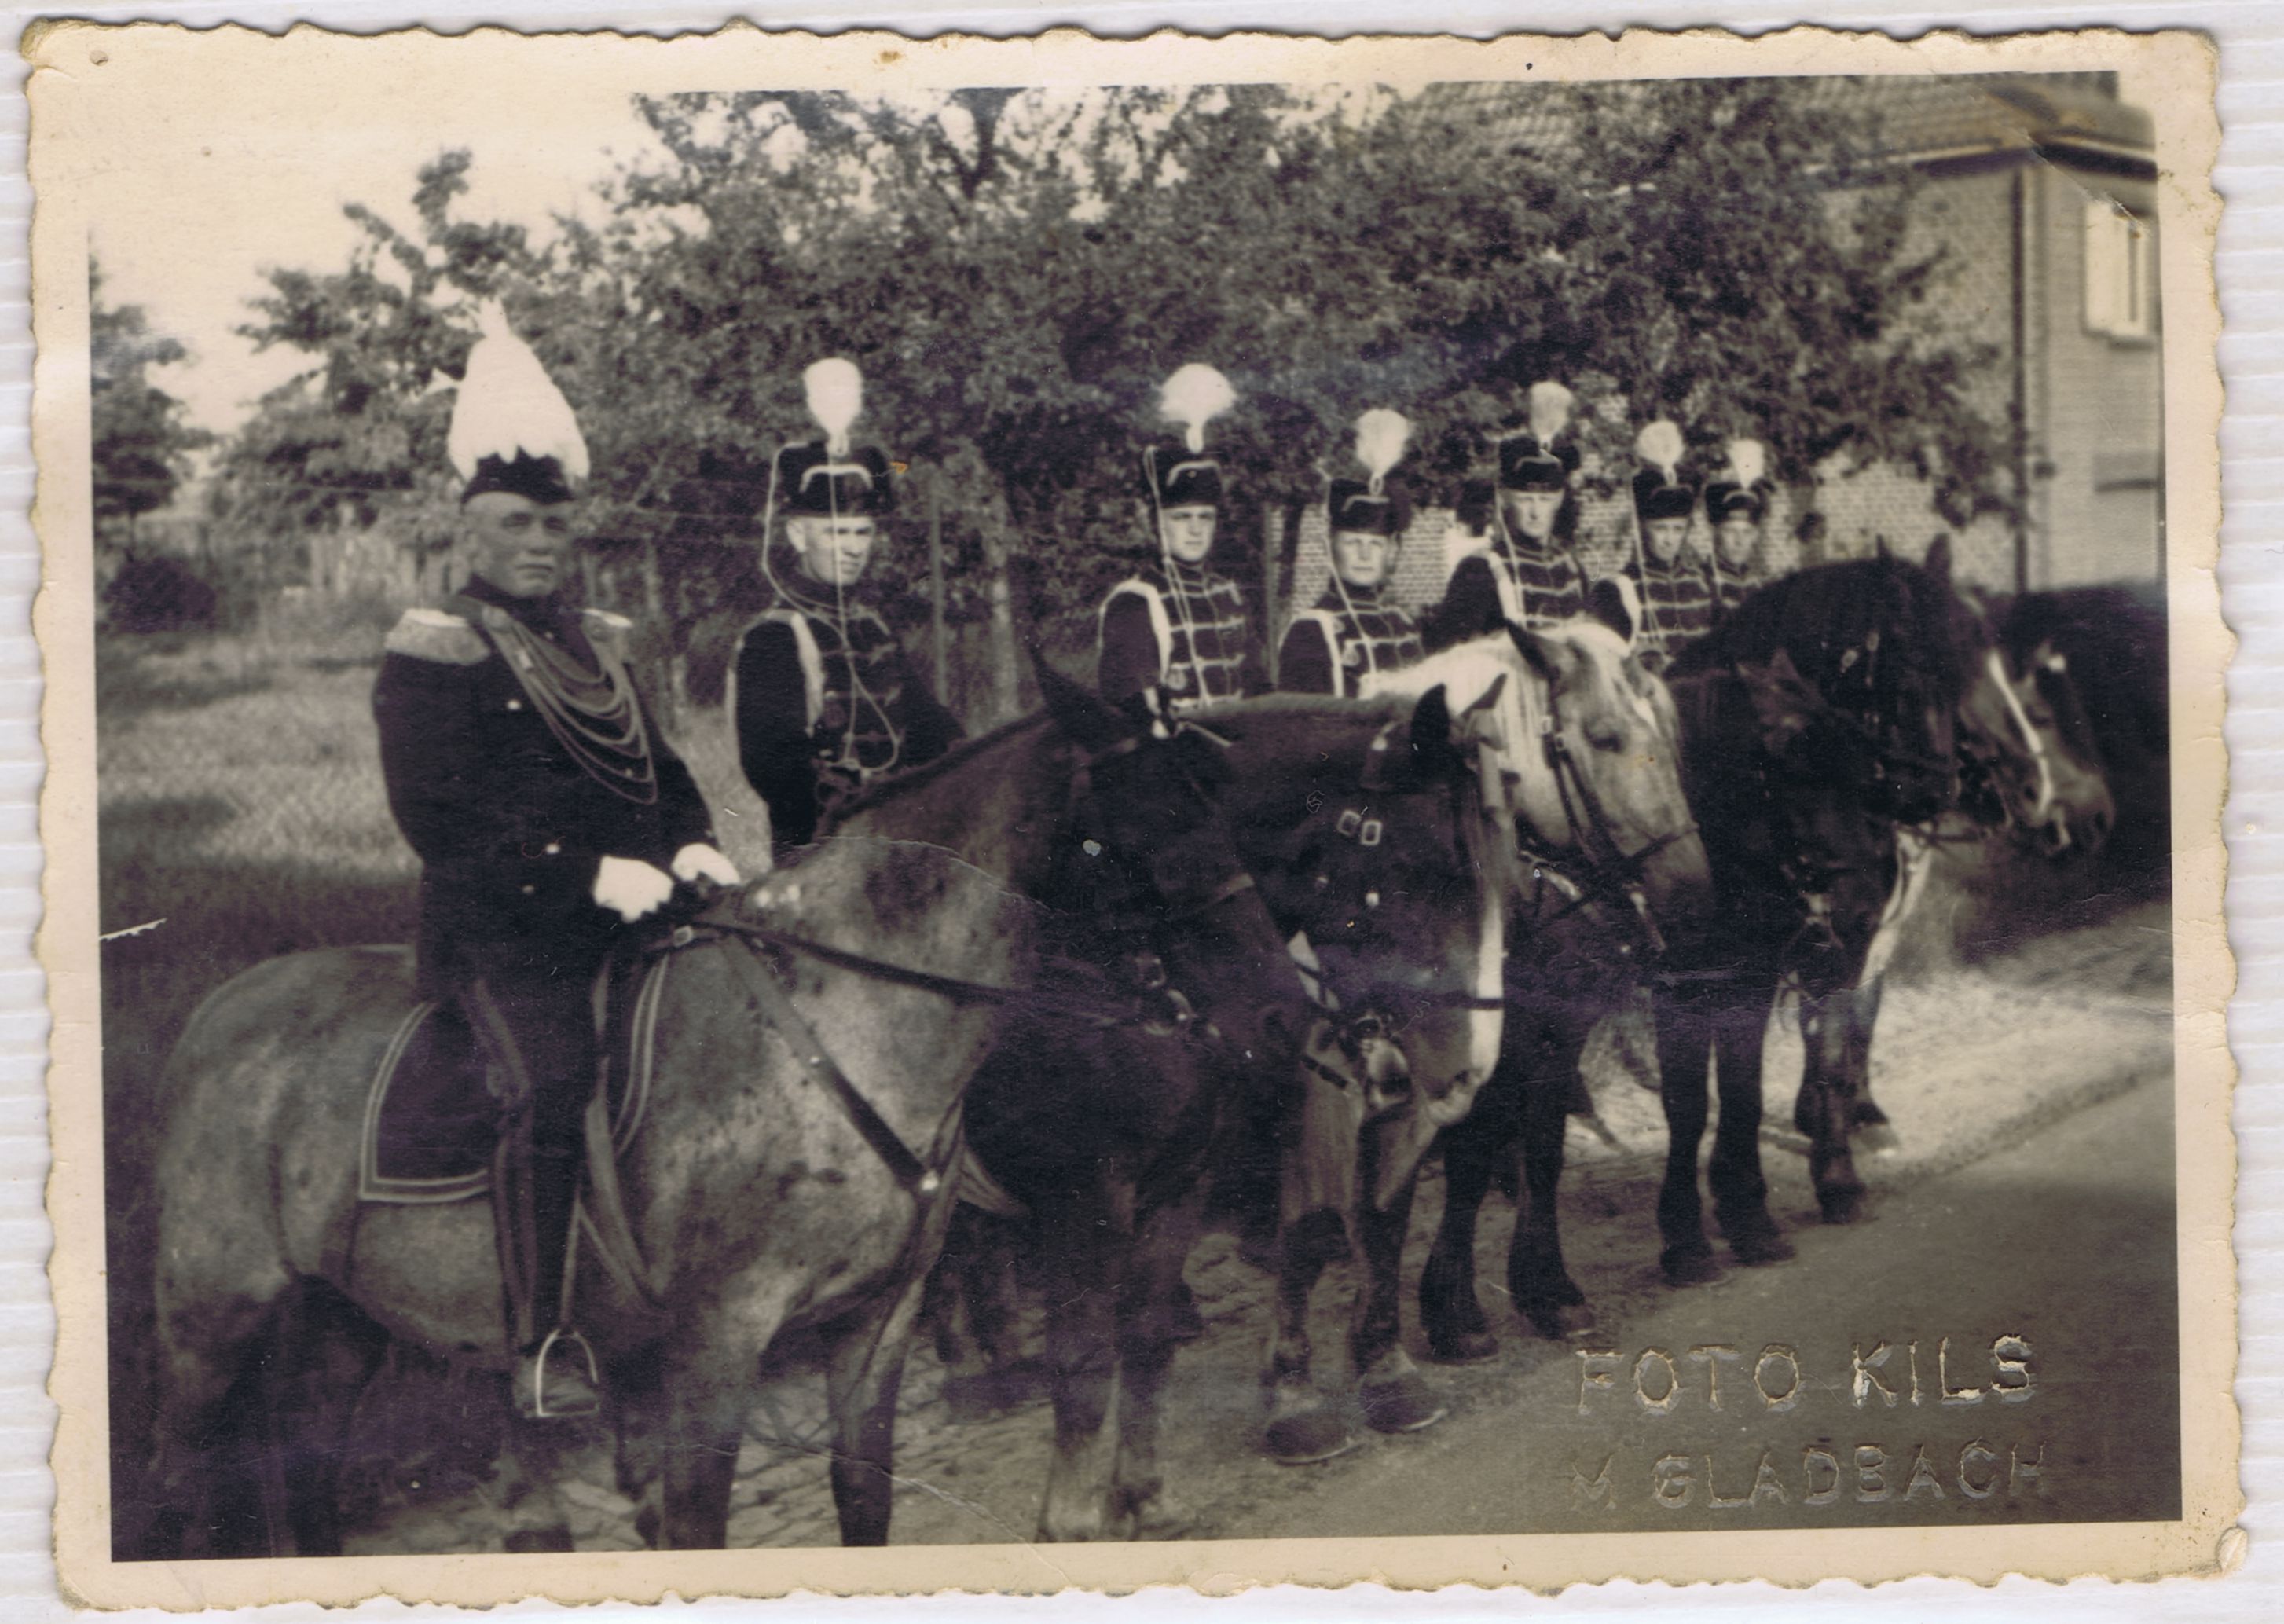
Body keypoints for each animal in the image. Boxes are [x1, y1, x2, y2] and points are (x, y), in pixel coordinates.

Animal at [138, 667, 1326, 1557]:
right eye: (1140, 825)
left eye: (1217, 802)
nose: (1282, 1009)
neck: (843, 1018)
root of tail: (213, 1014)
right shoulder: (721, 1339)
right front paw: (1083, 1516)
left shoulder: (876, 1322)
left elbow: (867, 1497)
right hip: (208, 1325)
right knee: (178, 1485)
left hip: (347, 1319)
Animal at [924, 675, 1516, 1535]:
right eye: (1427, 864)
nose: (1471, 1065)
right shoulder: (1106, 1179)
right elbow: (1302, 1236)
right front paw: (1296, 1404)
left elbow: (1374, 1218)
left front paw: (1386, 1375)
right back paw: (974, 1374)